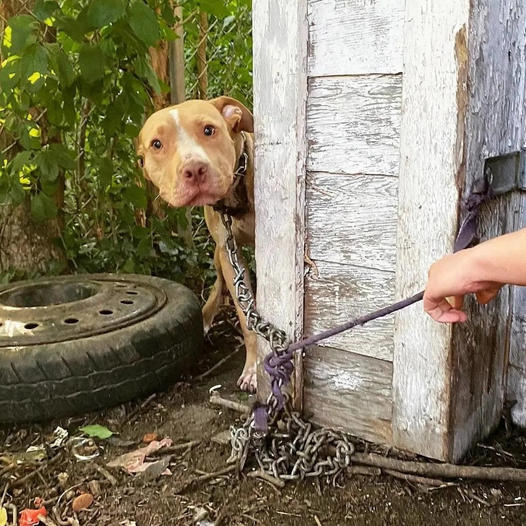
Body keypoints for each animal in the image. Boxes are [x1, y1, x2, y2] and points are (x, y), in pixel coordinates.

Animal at [137, 97, 258, 394]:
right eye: (157, 144)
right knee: (219, 284)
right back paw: (204, 316)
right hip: (217, 254)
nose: (194, 169)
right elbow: (245, 316)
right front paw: (254, 366)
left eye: (208, 130)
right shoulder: (228, 252)